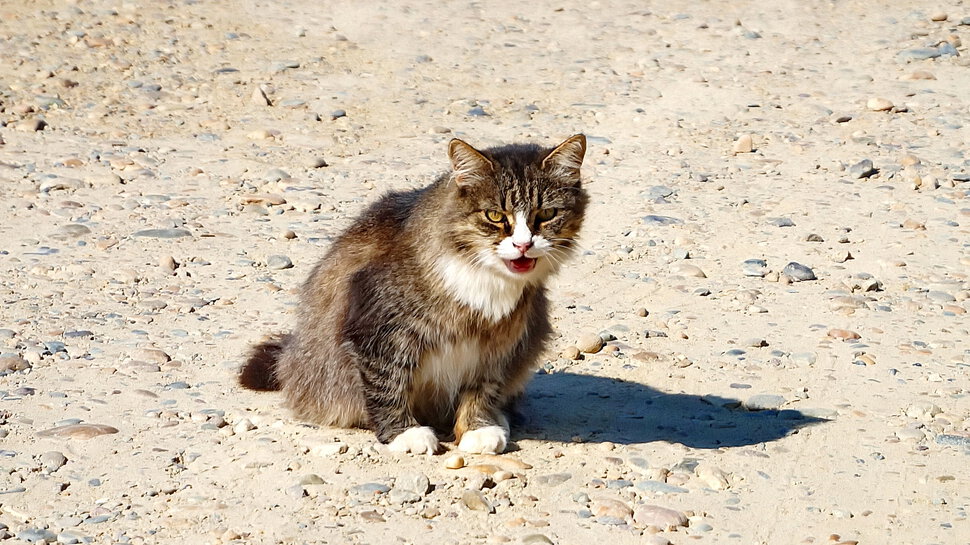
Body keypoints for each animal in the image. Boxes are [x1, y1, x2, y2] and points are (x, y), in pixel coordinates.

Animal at [238, 133, 588, 454]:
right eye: (495, 217)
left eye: (546, 215)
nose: (523, 244)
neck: (487, 283)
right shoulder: (379, 331)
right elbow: (388, 384)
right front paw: (404, 434)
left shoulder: (499, 346)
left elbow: (482, 391)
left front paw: (477, 427)